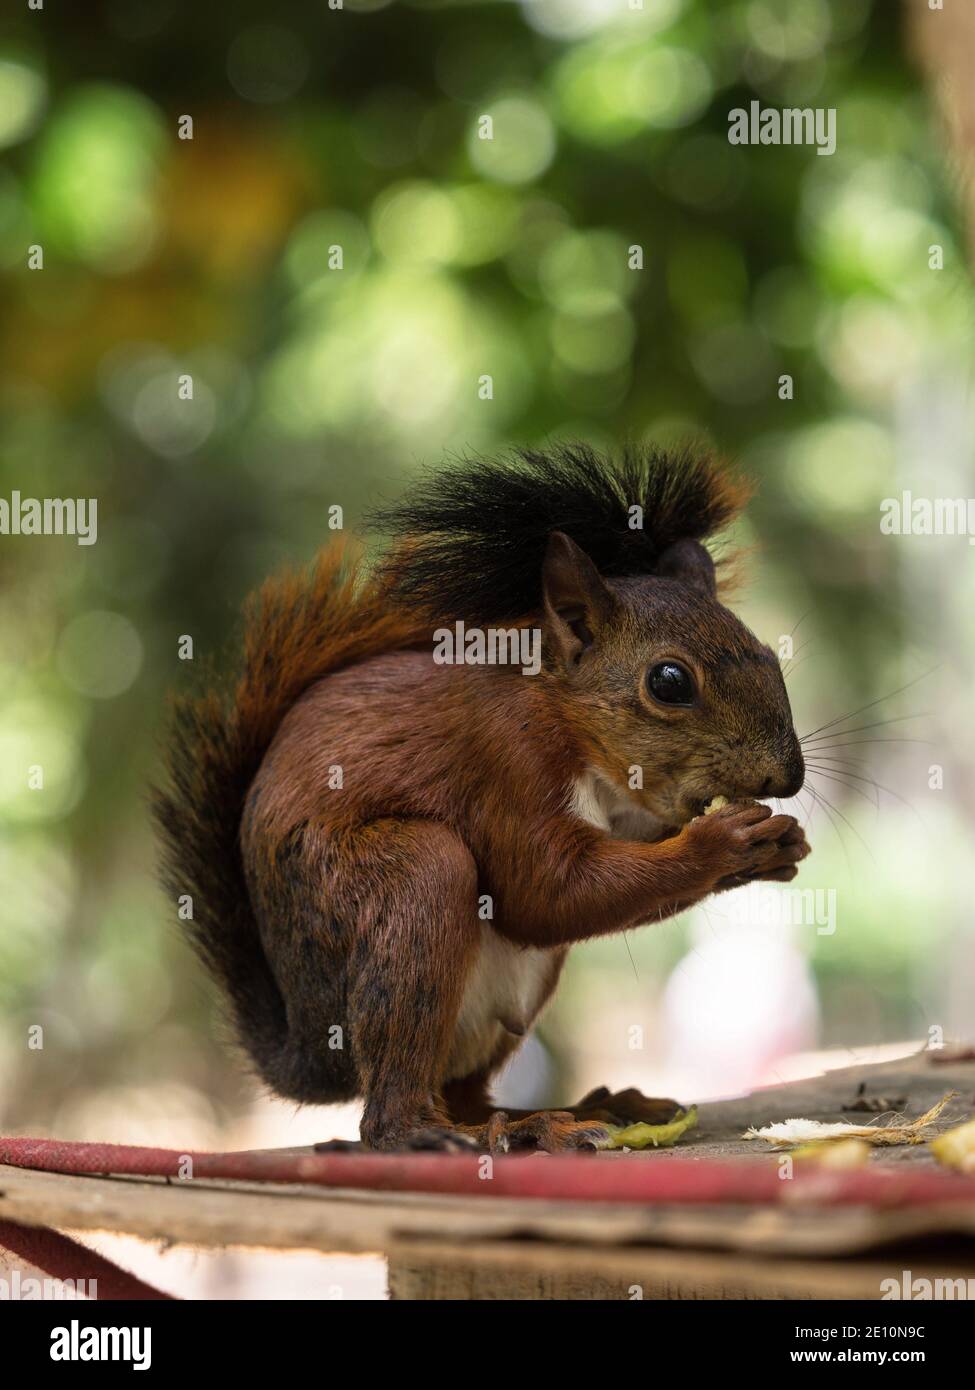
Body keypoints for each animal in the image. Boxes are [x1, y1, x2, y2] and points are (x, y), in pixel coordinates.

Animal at [152, 444, 806, 1150]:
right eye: (669, 681)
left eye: (768, 654)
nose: (788, 777)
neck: (562, 713)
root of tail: (309, 1050)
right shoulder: (505, 760)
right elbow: (544, 890)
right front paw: (722, 844)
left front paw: (780, 845)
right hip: (399, 881)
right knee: (387, 1110)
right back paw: (430, 1132)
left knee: (466, 1093)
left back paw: (559, 1116)